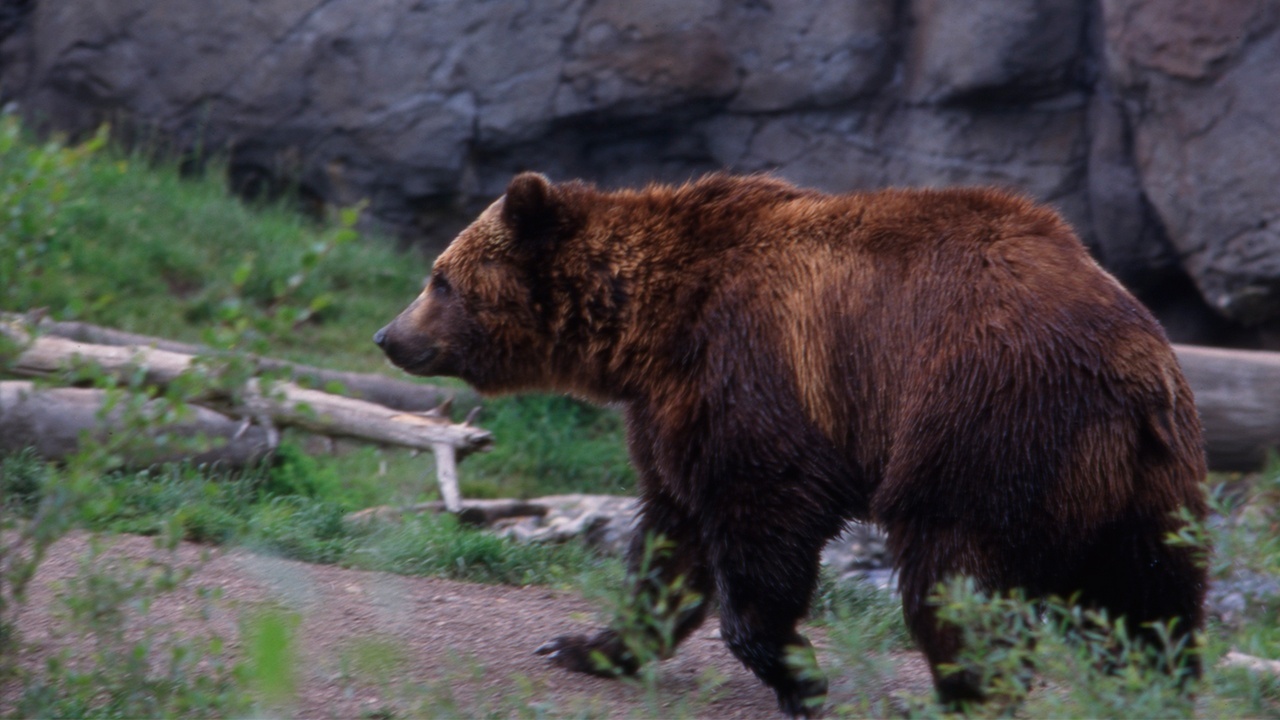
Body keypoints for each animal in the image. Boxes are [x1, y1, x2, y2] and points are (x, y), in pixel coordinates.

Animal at [374, 172, 1208, 717]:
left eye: (440, 279)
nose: (389, 335)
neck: (649, 325)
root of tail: (1134, 374)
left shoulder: (753, 373)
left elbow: (761, 520)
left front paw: (798, 672)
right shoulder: (672, 409)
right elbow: (670, 537)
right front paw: (586, 644)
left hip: (984, 424)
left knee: (955, 574)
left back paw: (961, 695)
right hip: (1147, 483)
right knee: (1153, 601)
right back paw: (1153, 689)